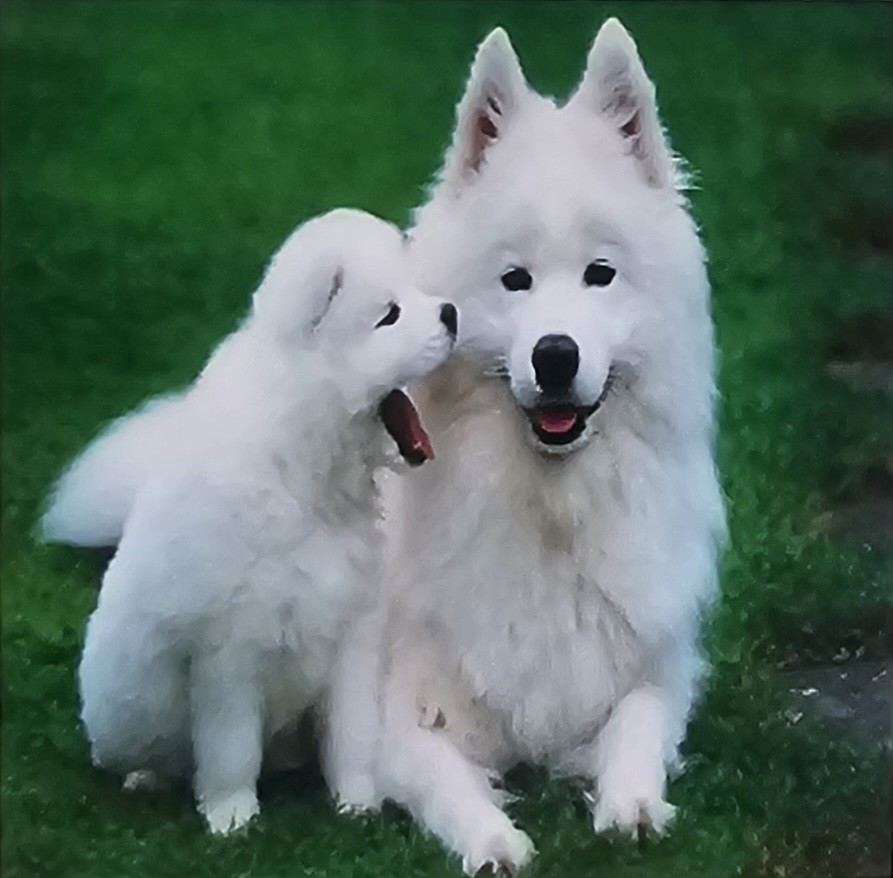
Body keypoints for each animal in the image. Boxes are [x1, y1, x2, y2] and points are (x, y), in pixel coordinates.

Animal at [42, 210, 460, 836]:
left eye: (415, 293)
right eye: (389, 315)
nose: (451, 313)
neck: (308, 472)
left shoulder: (352, 632)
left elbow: (353, 735)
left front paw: (356, 806)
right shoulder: (232, 651)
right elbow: (230, 749)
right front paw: (233, 818)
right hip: (125, 703)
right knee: (144, 752)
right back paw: (145, 779)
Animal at [324, 17, 728, 876]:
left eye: (600, 273)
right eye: (514, 280)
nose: (554, 356)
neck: (549, 507)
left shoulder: (654, 672)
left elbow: (639, 727)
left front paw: (630, 807)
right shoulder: (399, 715)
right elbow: (445, 779)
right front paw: (492, 840)